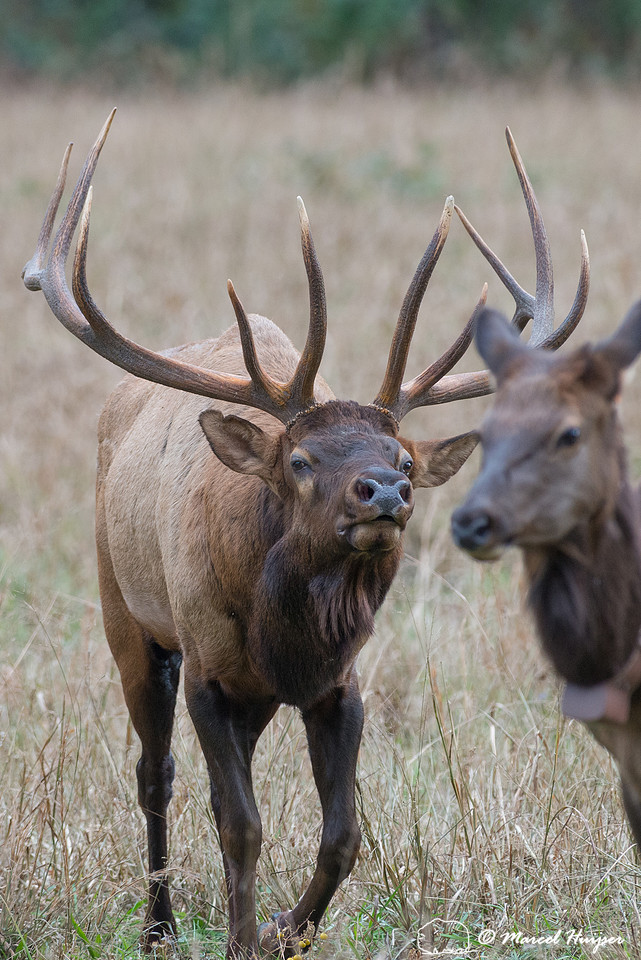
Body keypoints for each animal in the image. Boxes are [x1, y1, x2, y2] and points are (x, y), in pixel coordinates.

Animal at [22, 114, 588, 958]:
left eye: (403, 458)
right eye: (300, 459)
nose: (382, 491)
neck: (282, 631)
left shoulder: (337, 683)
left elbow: (342, 835)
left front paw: (283, 927)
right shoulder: (207, 667)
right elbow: (240, 824)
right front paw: (239, 937)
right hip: (125, 614)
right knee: (154, 774)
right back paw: (157, 927)